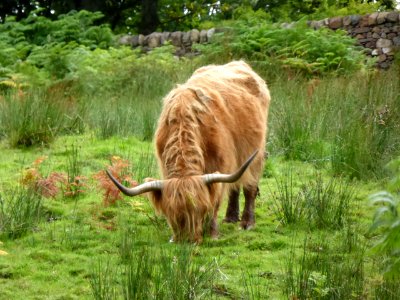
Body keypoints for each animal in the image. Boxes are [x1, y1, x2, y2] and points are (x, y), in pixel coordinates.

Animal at [106, 61, 272, 244]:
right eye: (170, 212)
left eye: (201, 209)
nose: (187, 240)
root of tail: (239, 63)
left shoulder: (221, 164)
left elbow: (216, 199)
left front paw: (213, 232)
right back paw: (230, 218)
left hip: (255, 154)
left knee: (250, 187)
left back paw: (247, 223)